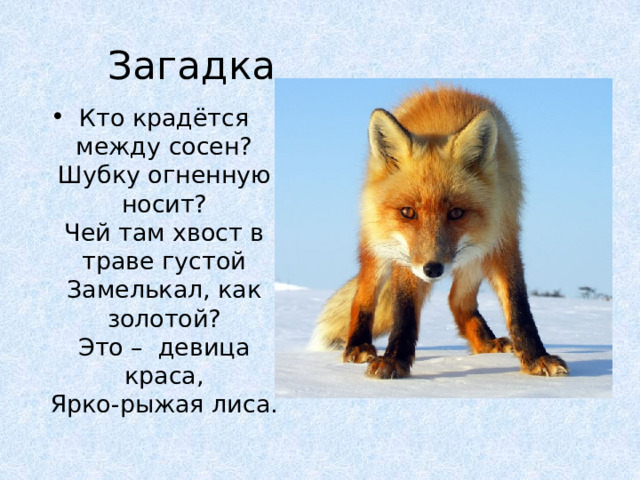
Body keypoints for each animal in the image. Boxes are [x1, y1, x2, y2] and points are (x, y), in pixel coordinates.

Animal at [310, 86, 569, 379]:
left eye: (456, 213)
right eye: (408, 212)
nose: (433, 269)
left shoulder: (503, 238)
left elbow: (519, 307)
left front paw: (537, 358)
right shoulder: (409, 259)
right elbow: (404, 312)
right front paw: (395, 360)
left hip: (474, 255)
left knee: (457, 300)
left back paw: (485, 343)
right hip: (379, 248)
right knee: (362, 298)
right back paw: (358, 346)